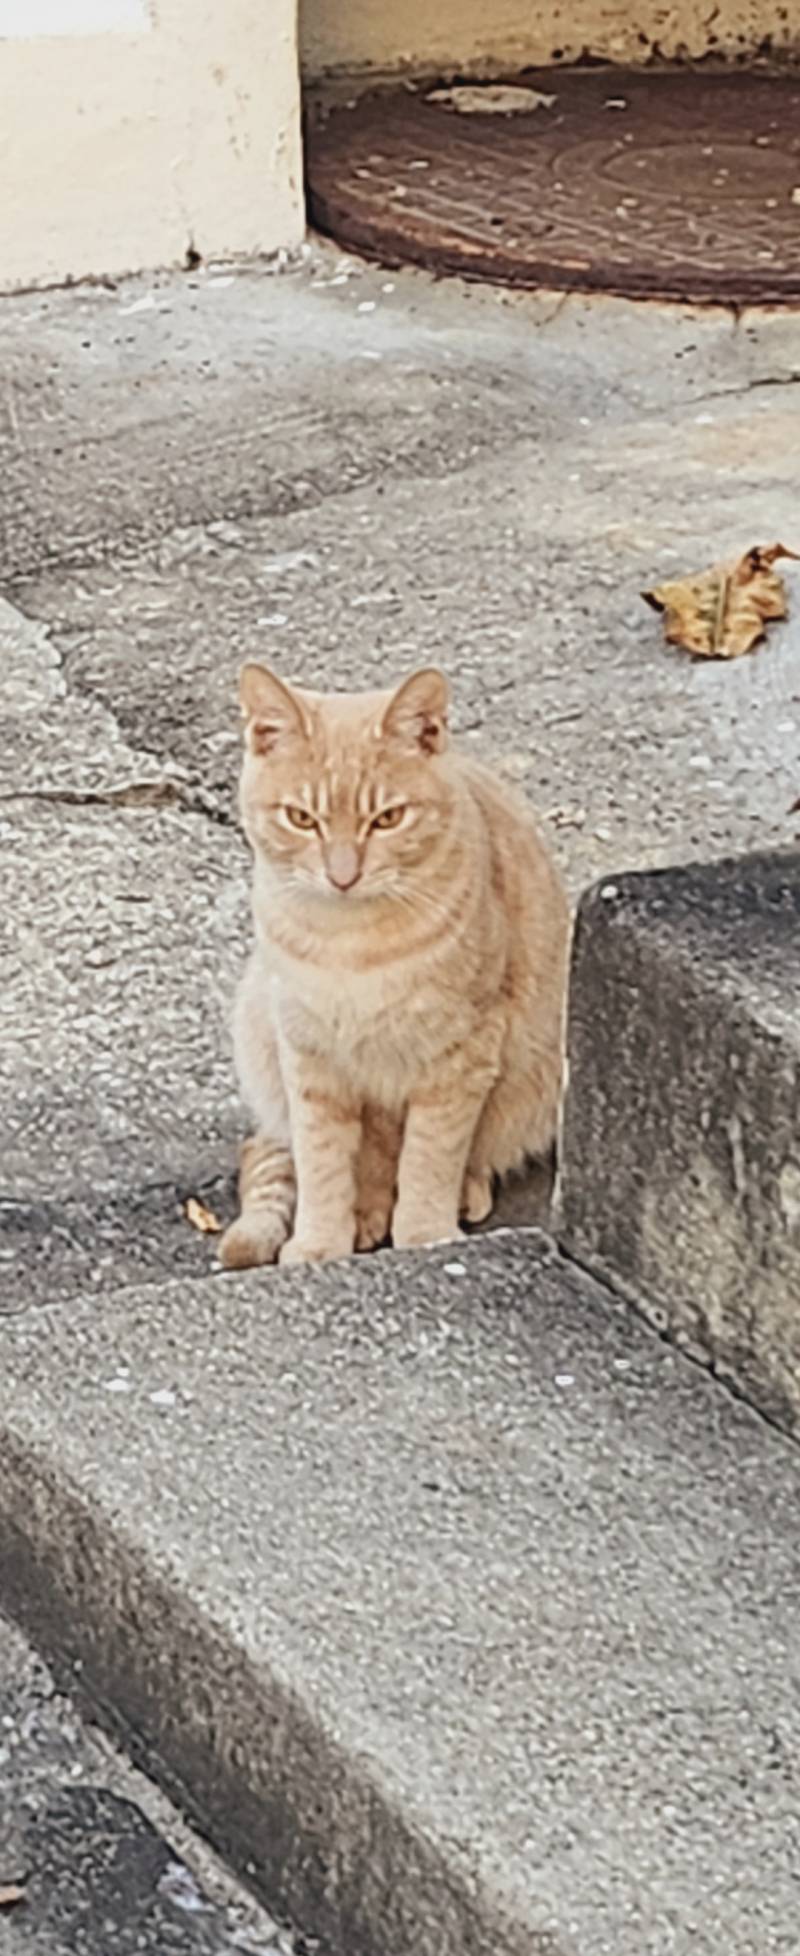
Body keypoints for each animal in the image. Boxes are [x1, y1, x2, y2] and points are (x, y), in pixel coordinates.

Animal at [220, 665, 567, 1259]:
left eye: (387, 819)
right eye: (301, 818)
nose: (342, 875)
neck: (350, 943)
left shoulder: (459, 1056)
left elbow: (431, 1158)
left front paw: (424, 1234)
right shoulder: (310, 1058)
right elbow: (323, 1164)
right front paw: (321, 1242)